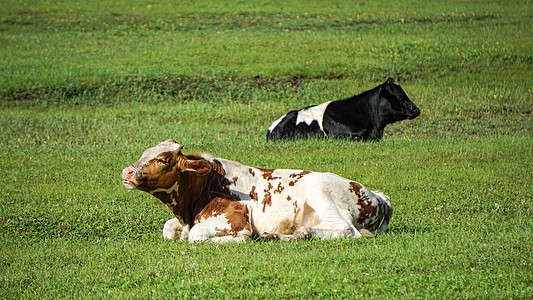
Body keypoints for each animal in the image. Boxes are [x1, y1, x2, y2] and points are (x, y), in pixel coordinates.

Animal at [122, 139, 392, 243]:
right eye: (144, 152)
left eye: (163, 159)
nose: (126, 172)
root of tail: (378, 196)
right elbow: (168, 230)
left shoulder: (235, 219)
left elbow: (196, 235)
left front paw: (240, 239)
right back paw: (280, 236)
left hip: (319, 191)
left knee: (347, 230)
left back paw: (302, 232)